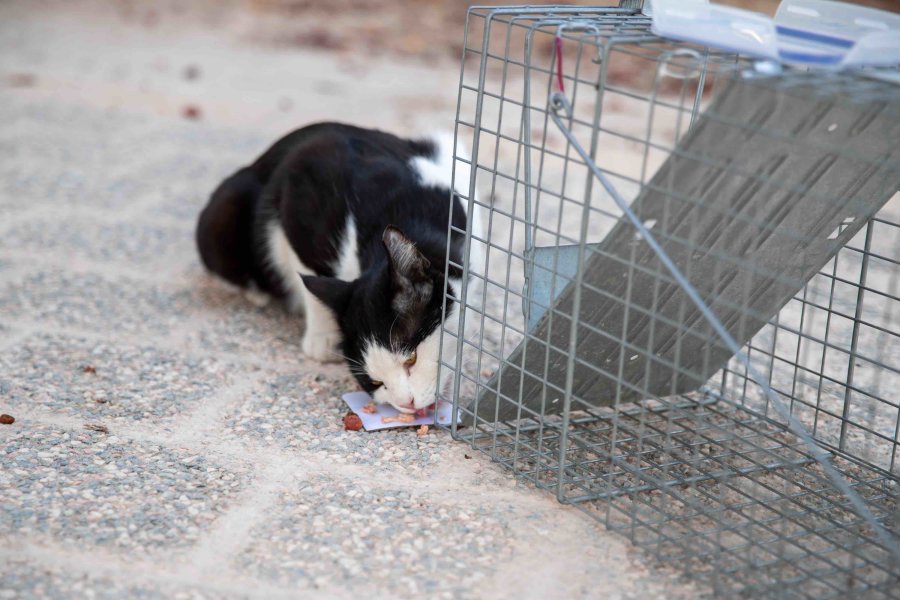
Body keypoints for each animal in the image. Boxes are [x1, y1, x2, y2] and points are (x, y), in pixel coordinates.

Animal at [194, 122, 482, 412]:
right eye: (376, 382)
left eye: (410, 359)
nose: (406, 403)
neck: (407, 209)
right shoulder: (301, 191)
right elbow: (307, 271)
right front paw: (321, 336)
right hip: (222, 216)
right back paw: (257, 293)